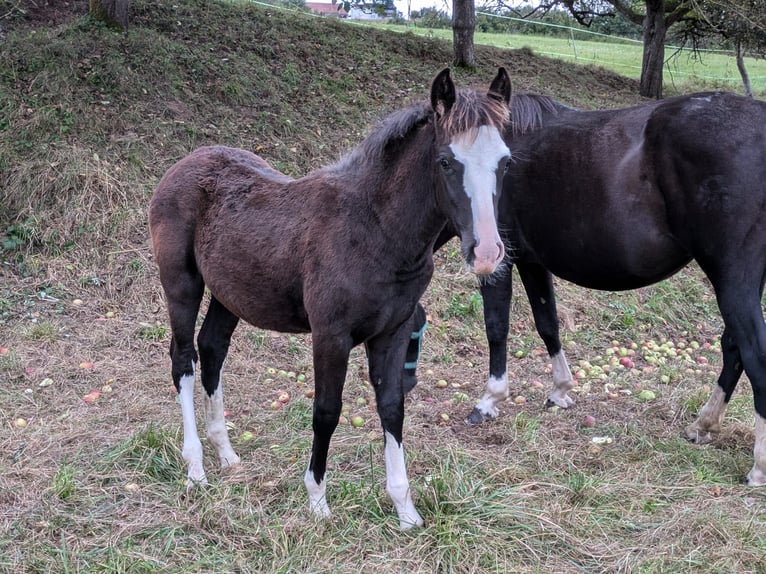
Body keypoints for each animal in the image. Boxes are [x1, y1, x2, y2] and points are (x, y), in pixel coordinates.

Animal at [148, 68, 512, 532]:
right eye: (446, 161)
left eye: (506, 162)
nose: (486, 253)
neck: (376, 230)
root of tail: (184, 163)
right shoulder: (330, 335)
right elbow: (326, 411)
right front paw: (317, 501)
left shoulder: (393, 333)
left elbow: (392, 408)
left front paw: (405, 510)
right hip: (182, 284)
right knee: (184, 359)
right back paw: (195, 467)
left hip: (230, 294)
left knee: (212, 349)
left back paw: (226, 453)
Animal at [420, 92, 766, 488]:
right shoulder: (532, 261)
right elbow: (547, 324)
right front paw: (560, 391)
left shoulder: (498, 262)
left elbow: (496, 328)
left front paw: (489, 401)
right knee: (734, 347)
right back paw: (704, 425)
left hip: (733, 278)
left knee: (753, 352)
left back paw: (758, 466)